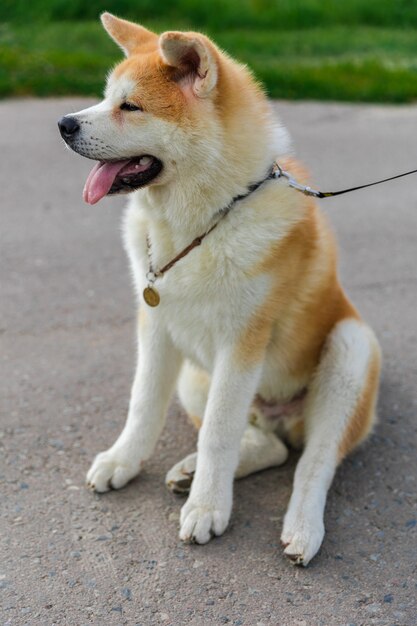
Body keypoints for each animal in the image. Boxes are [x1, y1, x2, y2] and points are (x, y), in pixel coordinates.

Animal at [58, 12, 380, 564]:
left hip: (349, 348)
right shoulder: (156, 328)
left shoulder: (242, 344)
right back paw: (191, 474)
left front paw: (208, 509)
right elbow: (143, 405)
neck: (198, 225)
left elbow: (218, 434)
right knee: (270, 445)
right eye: (103, 98)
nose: (63, 124)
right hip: (195, 376)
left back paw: (301, 527)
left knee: (314, 460)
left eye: (130, 107)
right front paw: (123, 461)